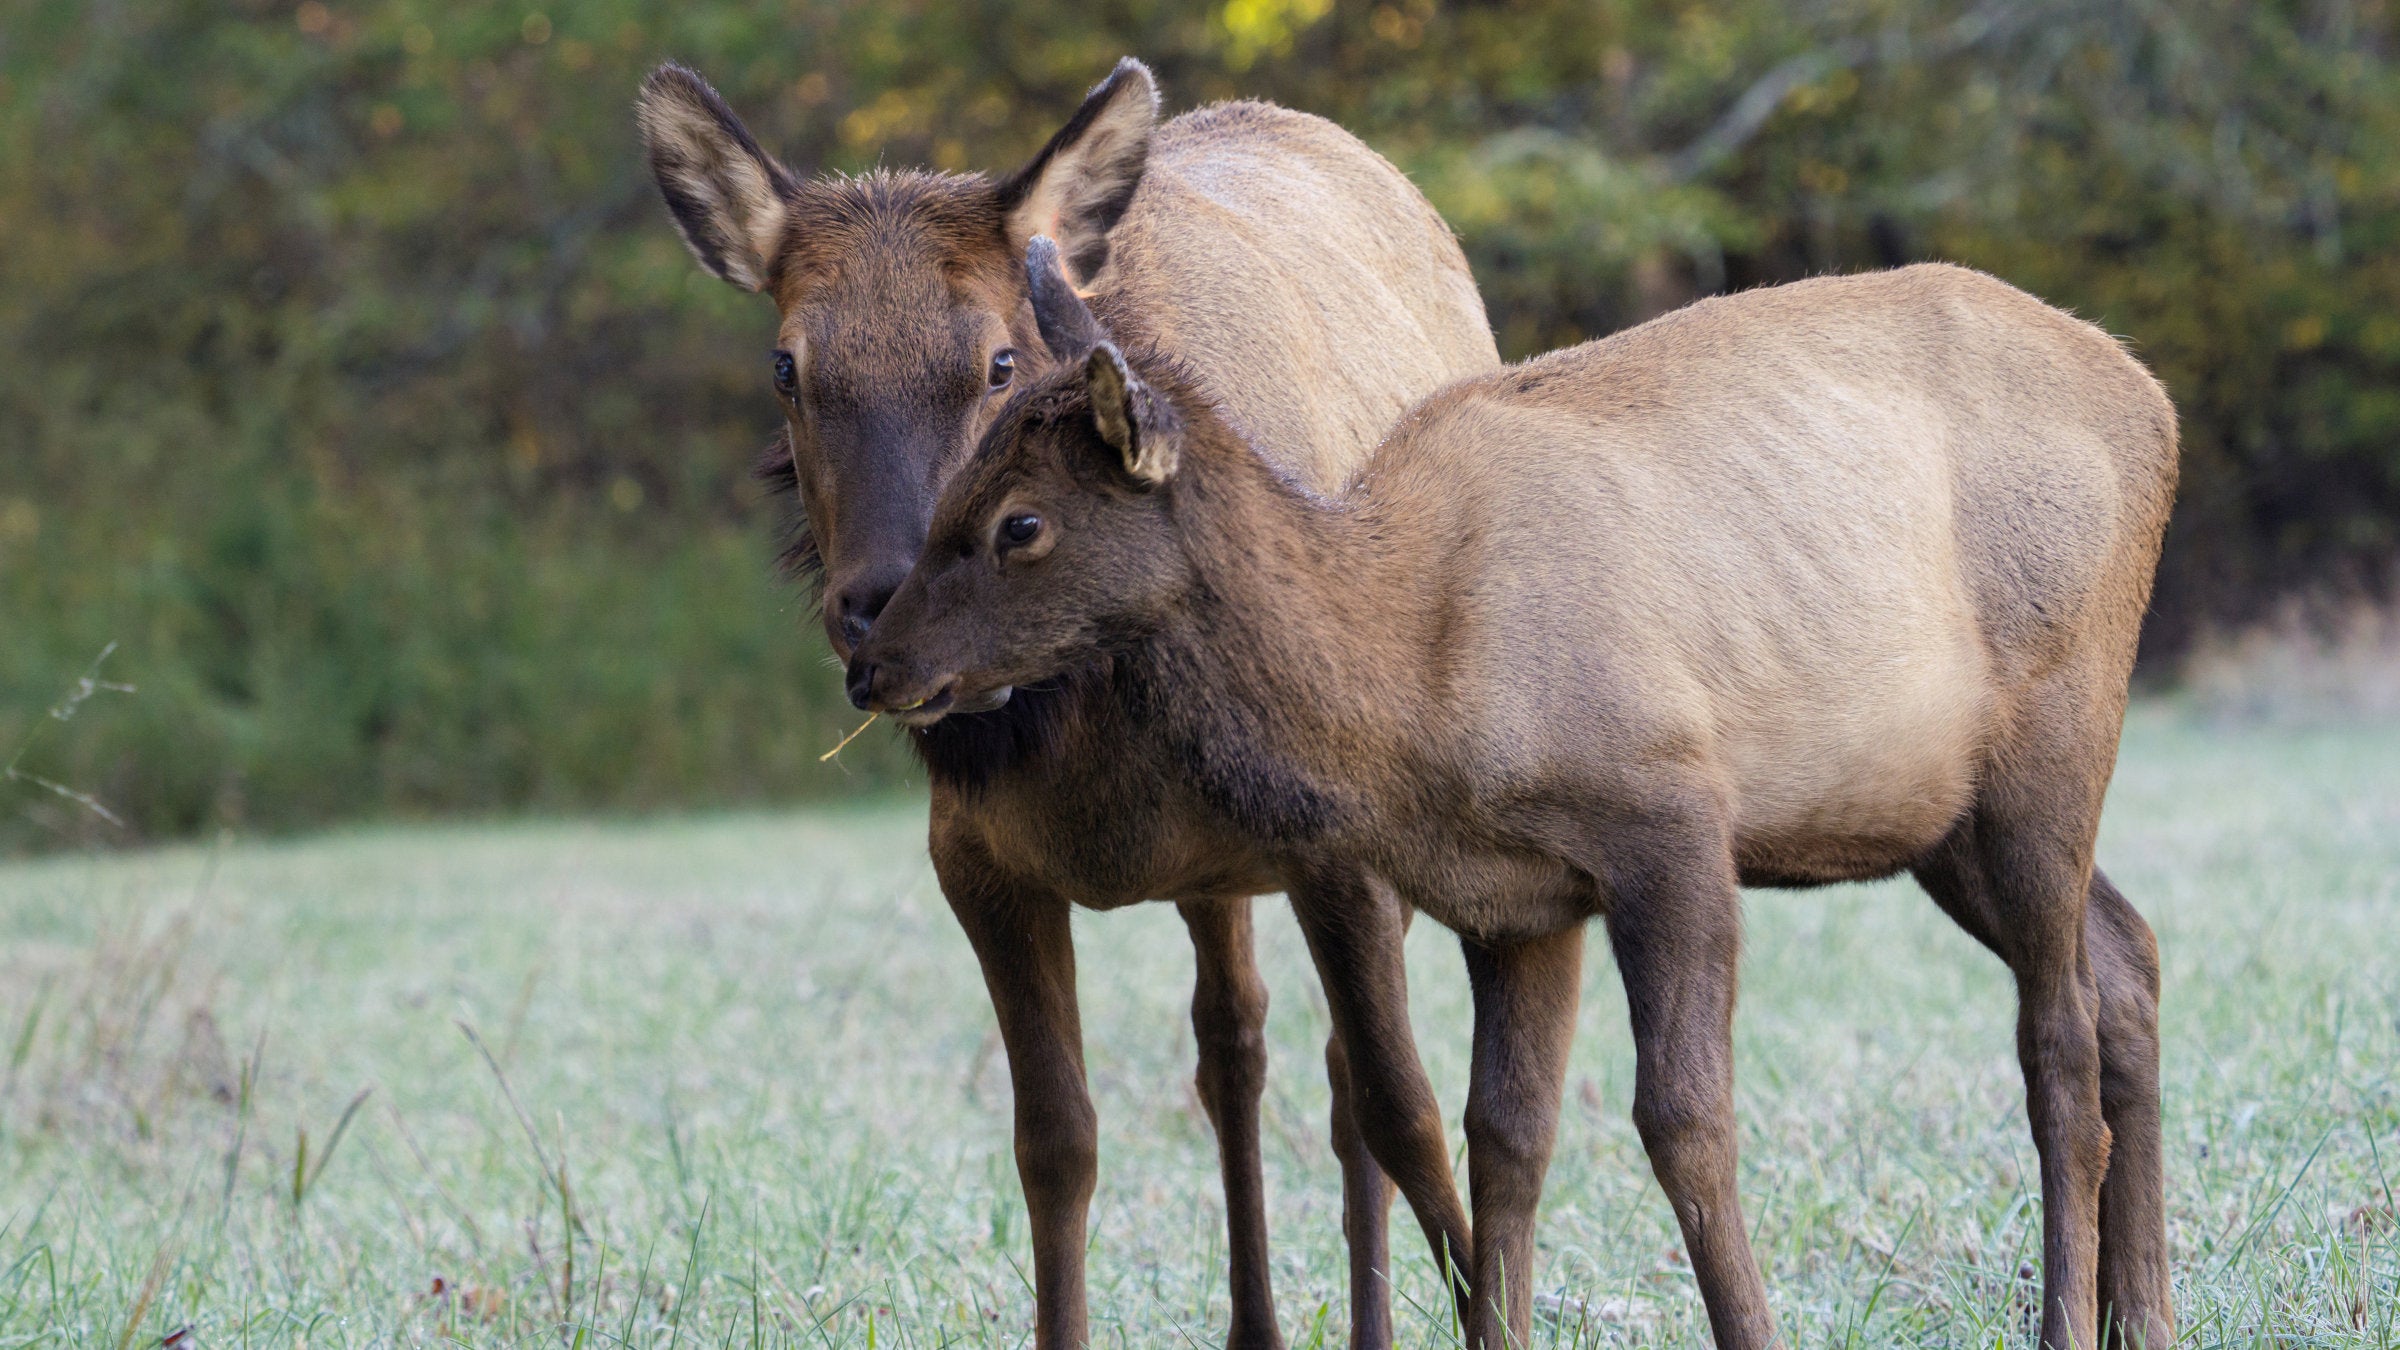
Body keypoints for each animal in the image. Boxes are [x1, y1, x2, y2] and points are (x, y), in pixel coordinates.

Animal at [637, 59, 1498, 1348]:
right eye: (787, 367)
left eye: (1000, 361)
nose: (880, 611)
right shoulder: (976, 863)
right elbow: (1056, 1143)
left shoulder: (1344, 840)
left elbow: (1403, 1113)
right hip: (1215, 879)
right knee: (1231, 1044)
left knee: (1342, 1084)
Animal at [848, 237, 2181, 1350]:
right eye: (962, 482)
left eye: (1020, 523)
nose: (875, 664)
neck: (1418, 681)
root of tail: (2158, 407)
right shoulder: (1517, 903)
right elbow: (1505, 1140)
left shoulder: (1670, 815)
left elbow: (1683, 1120)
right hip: (1932, 813)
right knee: (2126, 955)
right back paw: (2147, 1316)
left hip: (2058, 728)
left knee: (2056, 1033)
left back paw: (2072, 1322)